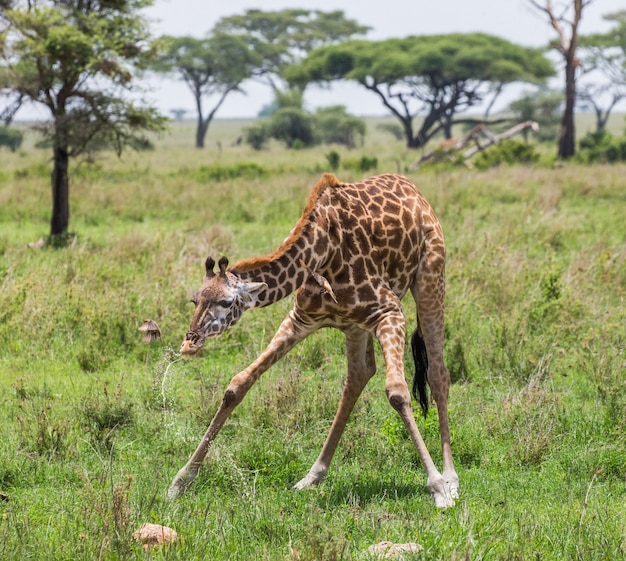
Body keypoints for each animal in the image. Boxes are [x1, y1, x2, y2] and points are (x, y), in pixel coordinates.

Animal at [168, 172, 456, 508]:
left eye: (226, 303)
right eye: (194, 300)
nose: (190, 343)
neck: (324, 252)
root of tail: (415, 191)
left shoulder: (390, 312)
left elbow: (397, 393)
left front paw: (437, 487)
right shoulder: (300, 319)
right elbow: (237, 385)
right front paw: (181, 480)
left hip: (431, 277)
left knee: (438, 374)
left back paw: (451, 478)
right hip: (355, 326)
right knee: (358, 375)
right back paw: (313, 475)